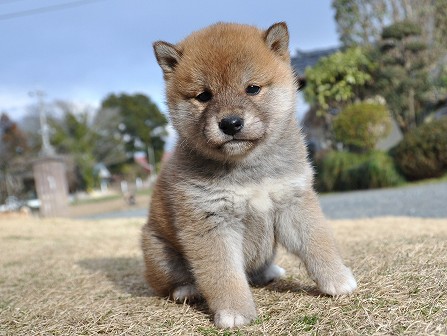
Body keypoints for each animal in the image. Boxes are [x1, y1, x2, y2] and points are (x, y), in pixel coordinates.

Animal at [142, 21, 358, 328]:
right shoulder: (210, 223)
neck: (249, 168)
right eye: (204, 96)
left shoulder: (293, 202)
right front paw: (234, 312)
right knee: (170, 282)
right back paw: (187, 289)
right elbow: (224, 275)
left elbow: (317, 242)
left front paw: (337, 278)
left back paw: (268, 272)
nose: (230, 123)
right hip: (159, 253)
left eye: (252, 88)